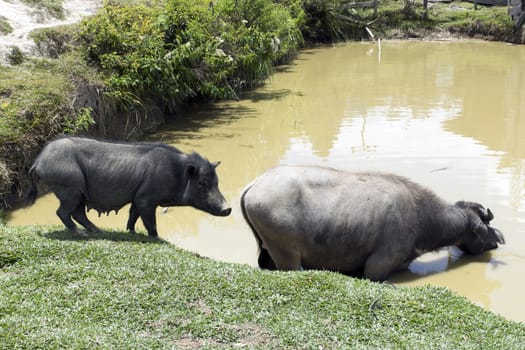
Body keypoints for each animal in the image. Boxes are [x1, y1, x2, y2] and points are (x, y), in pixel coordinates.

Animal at [27, 137, 230, 238]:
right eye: (202, 183)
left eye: (217, 181)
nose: (228, 208)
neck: (176, 173)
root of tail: (38, 161)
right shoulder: (146, 199)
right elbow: (150, 221)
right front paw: (156, 238)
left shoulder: (137, 196)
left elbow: (133, 214)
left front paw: (131, 232)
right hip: (69, 187)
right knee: (62, 212)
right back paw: (82, 234)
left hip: (78, 192)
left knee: (78, 213)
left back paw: (97, 231)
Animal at [241, 165, 504, 282]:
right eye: (484, 227)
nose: (497, 241)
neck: (423, 217)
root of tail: (254, 185)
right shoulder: (376, 268)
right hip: (287, 256)